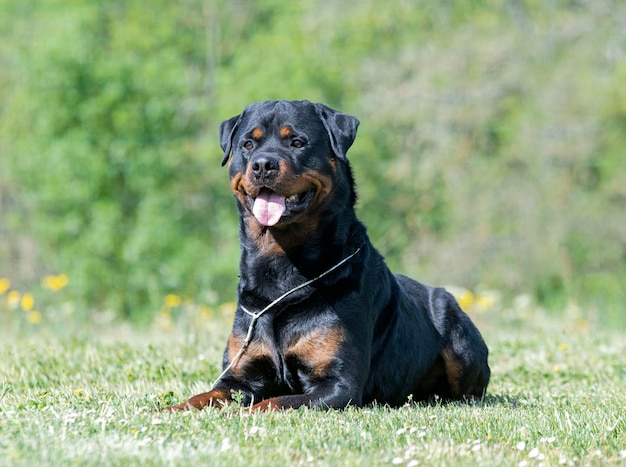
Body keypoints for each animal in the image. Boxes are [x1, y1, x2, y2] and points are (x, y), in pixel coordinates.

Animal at [161, 100, 488, 412]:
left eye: (297, 142)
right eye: (248, 144)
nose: (263, 164)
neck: (282, 267)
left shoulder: (338, 386)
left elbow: (272, 403)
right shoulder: (238, 377)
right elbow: (203, 396)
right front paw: (169, 409)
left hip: (459, 339)